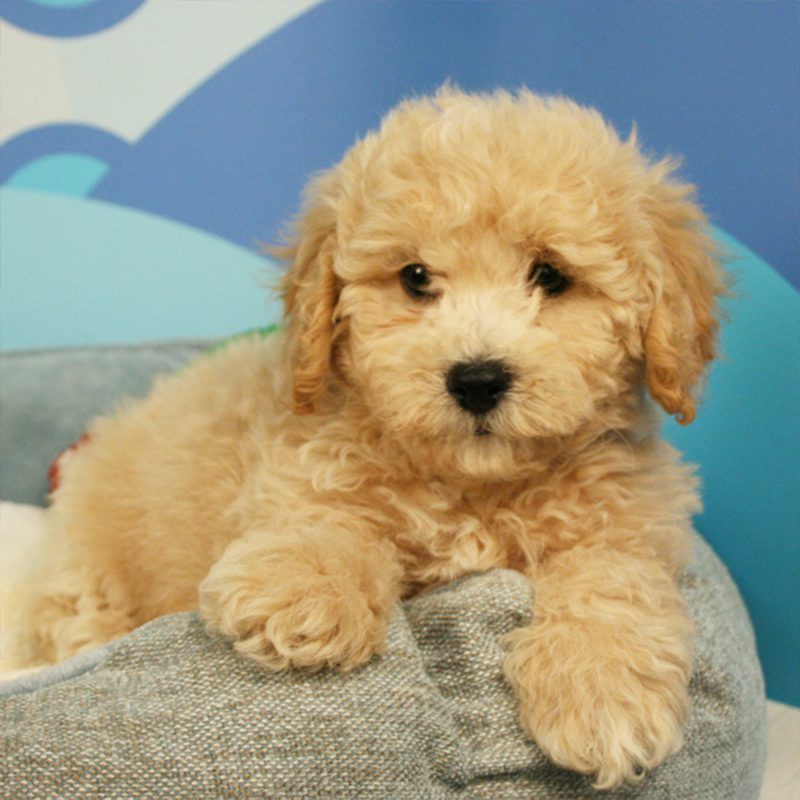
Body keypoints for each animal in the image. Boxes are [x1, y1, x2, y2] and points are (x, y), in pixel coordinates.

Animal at [1, 87, 724, 788]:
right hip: (86, 561)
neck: (474, 485)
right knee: (73, 616)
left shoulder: (630, 519)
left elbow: (613, 580)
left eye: (550, 276)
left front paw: (603, 694)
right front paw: (304, 591)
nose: (477, 378)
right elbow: (328, 517)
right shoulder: (306, 463)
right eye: (415, 277)